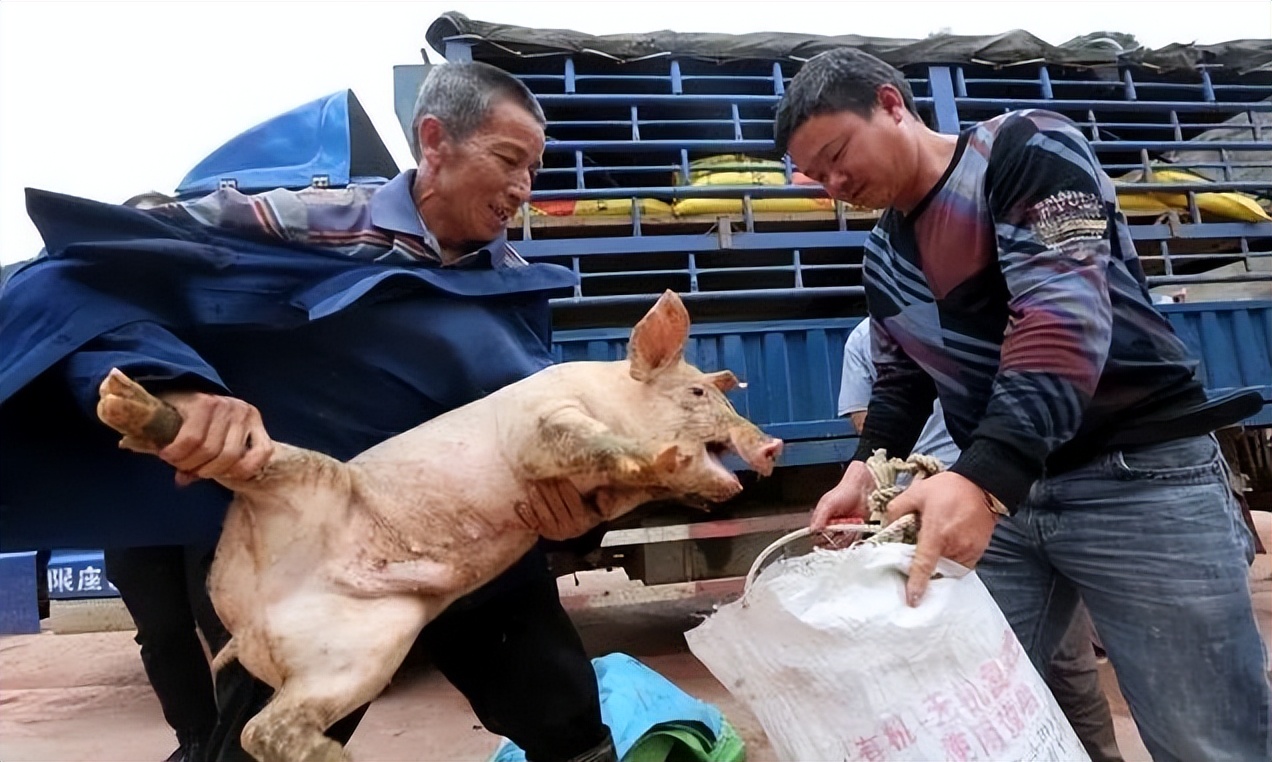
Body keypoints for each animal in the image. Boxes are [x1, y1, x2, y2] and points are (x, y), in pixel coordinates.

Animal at [96, 288, 773, 758]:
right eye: (698, 395)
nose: (768, 446)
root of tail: (251, 619)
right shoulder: (540, 424)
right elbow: (589, 442)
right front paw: (667, 456)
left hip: (364, 649)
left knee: (263, 731)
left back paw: (334, 757)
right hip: (300, 482)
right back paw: (121, 398)